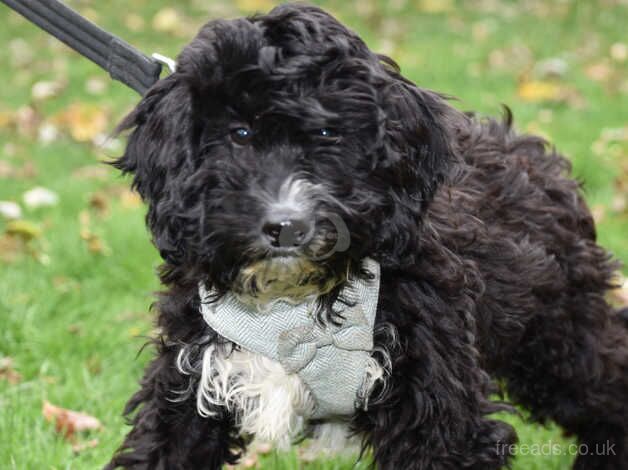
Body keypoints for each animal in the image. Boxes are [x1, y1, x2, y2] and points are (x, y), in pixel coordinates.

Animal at [105, 4, 624, 470]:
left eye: (328, 133)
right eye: (240, 134)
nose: (288, 227)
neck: (290, 307)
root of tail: (530, 151)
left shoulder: (435, 404)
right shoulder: (190, 378)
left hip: (557, 334)